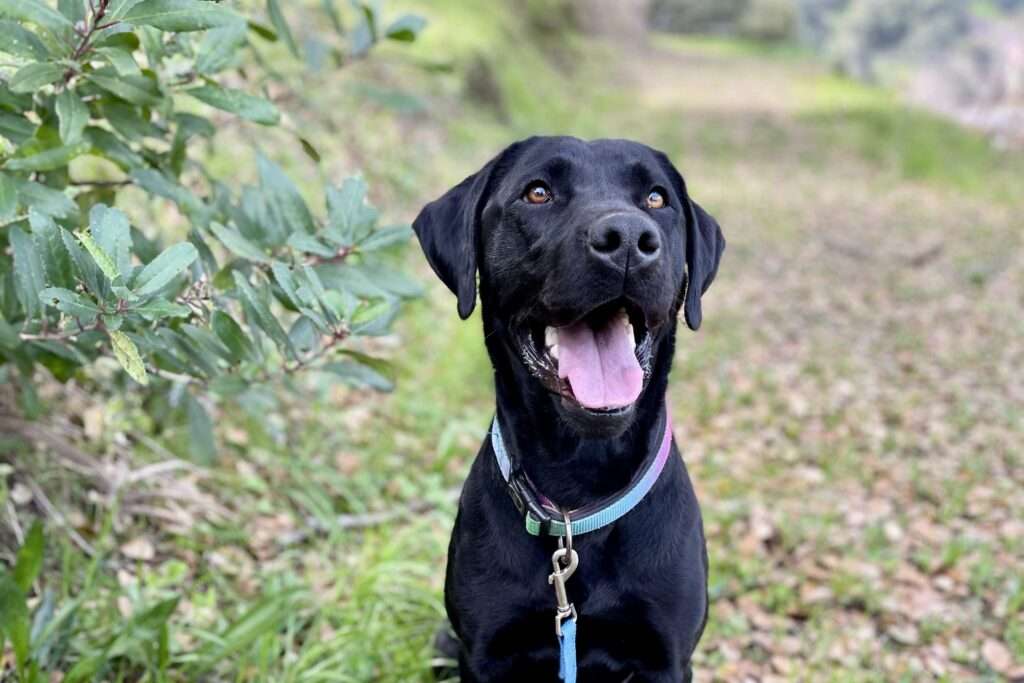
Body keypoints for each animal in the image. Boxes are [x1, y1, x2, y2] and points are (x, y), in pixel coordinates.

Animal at [411, 136, 724, 679]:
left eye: (656, 199)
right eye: (538, 192)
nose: (627, 238)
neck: (577, 495)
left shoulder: (667, 657)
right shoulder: (483, 652)